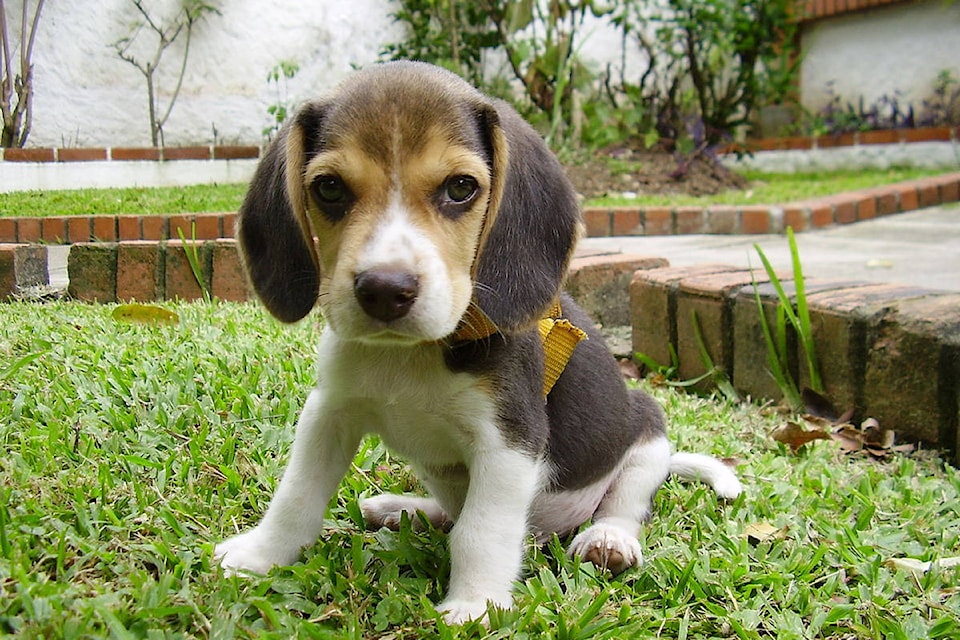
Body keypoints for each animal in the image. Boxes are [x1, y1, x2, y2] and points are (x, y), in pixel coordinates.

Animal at [216, 61, 744, 624]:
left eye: (461, 187)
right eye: (330, 189)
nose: (384, 289)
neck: (411, 354)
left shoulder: (510, 440)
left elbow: (481, 531)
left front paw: (475, 605)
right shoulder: (329, 413)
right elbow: (296, 496)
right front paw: (260, 555)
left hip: (647, 430)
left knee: (625, 503)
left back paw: (608, 540)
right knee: (450, 509)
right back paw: (405, 510)